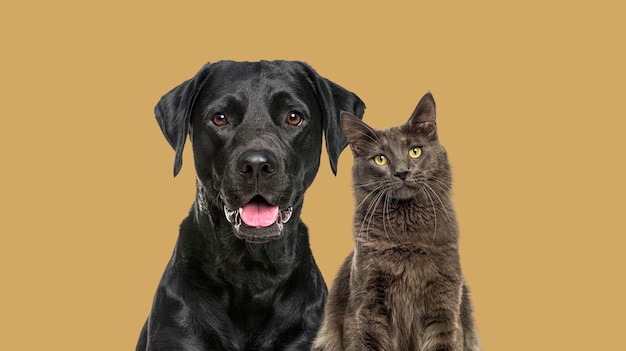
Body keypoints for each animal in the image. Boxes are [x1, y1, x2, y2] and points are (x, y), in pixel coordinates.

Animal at [312, 93, 478, 351]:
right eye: (380, 159)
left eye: (415, 151)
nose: (401, 172)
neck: (407, 236)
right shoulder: (367, 307)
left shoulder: (445, 304)